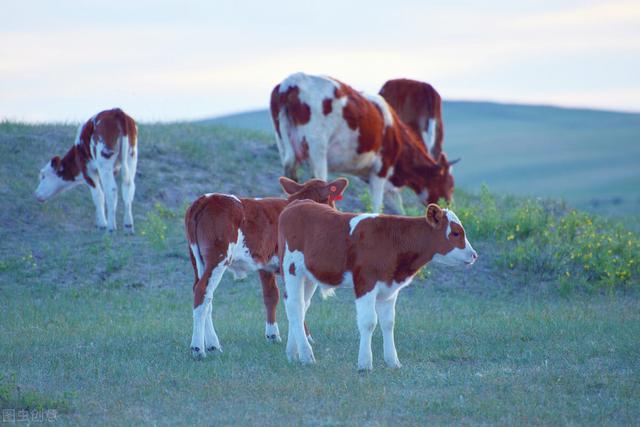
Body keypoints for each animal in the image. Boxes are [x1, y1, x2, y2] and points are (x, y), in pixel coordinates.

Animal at [182, 176, 348, 360]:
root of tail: (205, 199)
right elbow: (301, 301)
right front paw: (306, 338)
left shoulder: (265, 264)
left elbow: (271, 296)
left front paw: (273, 335)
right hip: (217, 257)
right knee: (202, 290)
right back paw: (198, 348)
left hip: (197, 260)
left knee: (205, 295)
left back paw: (213, 344)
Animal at [268, 72, 458, 217]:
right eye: (450, 184)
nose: (449, 205)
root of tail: (290, 83)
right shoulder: (381, 170)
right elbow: (377, 206)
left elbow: (399, 209)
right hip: (317, 146)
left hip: (283, 141)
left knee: (290, 171)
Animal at [278, 201, 478, 372]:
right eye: (455, 233)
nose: (474, 255)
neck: (394, 241)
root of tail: (296, 204)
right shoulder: (365, 282)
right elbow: (368, 322)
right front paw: (365, 363)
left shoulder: (389, 289)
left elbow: (388, 323)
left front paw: (393, 361)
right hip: (292, 269)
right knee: (295, 306)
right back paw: (306, 355)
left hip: (309, 276)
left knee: (301, 307)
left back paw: (292, 353)